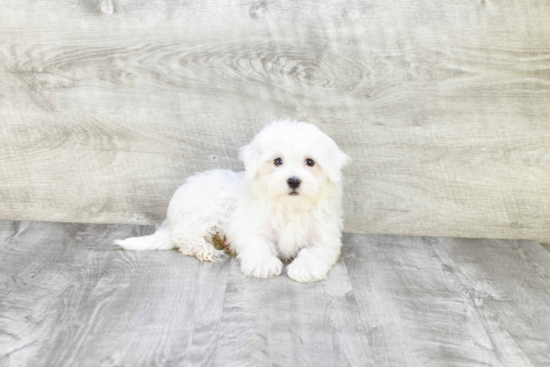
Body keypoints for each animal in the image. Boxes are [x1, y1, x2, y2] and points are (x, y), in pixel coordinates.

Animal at [115, 119, 354, 284]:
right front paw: (262, 264)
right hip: (202, 210)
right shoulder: (252, 226)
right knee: (184, 237)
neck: (290, 206)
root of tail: (170, 219)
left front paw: (305, 268)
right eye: (277, 161)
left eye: (310, 162)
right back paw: (205, 248)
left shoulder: (324, 235)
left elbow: (316, 251)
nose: (294, 181)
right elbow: (258, 244)